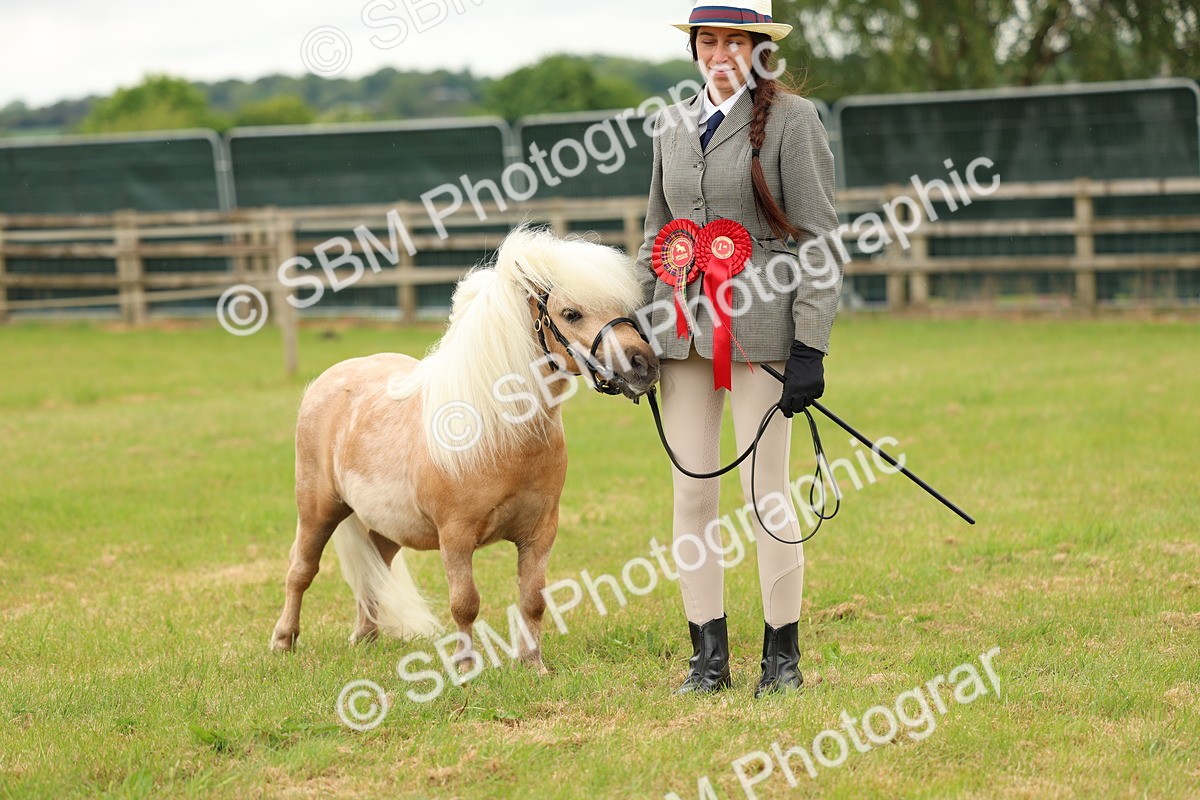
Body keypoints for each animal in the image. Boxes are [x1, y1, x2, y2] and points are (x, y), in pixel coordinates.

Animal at [269, 226, 660, 676]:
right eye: (571, 313)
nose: (644, 365)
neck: (500, 433)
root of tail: (329, 379)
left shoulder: (540, 533)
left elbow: (533, 599)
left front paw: (533, 665)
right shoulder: (455, 537)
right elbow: (465, 603)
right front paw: (464, 666)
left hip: (385, 525)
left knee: (375, 568)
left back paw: (365, 637)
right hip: (317, 509)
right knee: (301, 570)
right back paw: (283, 641)